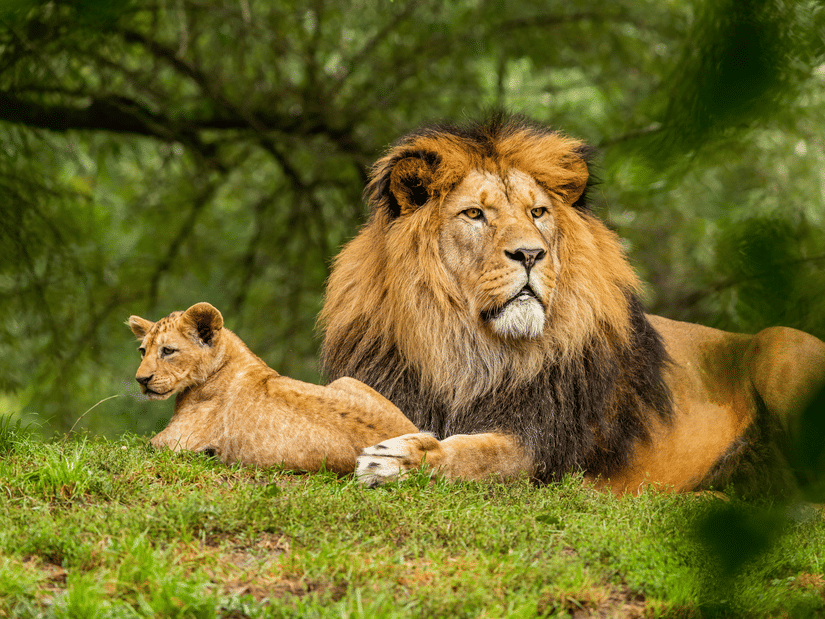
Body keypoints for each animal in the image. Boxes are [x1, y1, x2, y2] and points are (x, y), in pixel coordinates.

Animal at [127, 302, 418, 473]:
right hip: (345, 380)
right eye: (142, 351)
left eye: (168, 351)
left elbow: (132, 448)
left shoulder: (172, 442)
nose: (141, 379)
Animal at [320, 113, 825, 494]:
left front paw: (400, 458)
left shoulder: (542, 445)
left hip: (780, 345)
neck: (467, 349)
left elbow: (477, 453)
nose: (530, 254)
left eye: (537, 212)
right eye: (475, 214)